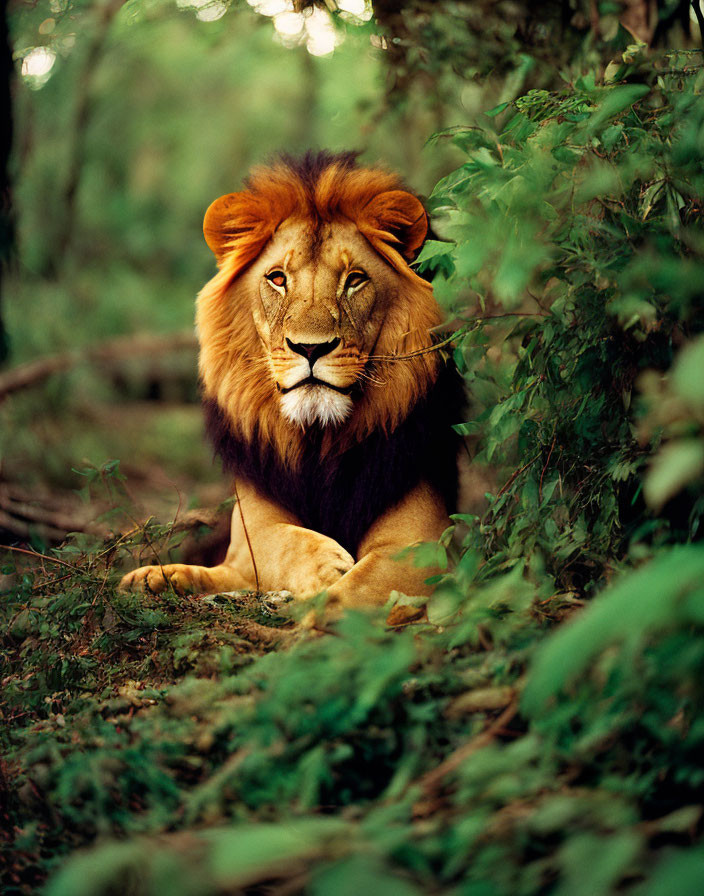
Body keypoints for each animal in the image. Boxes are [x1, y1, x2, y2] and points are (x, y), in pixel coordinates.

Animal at [119, 152, 462, 608]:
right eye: (278, 278)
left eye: (355, 279)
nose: (310, 349)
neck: (317, 441)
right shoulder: (247, 541)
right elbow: (277, 541)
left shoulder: (422, 547)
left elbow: (349, 595)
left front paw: (319, 608)